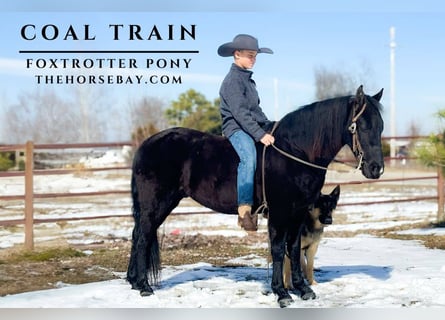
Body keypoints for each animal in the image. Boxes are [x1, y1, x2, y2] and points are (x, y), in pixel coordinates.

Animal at [126, 85, 384, 308]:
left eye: (380, 126)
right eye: (361, 126)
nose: (376, 169)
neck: (295, 153)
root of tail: (146, 144)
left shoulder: (298, 213)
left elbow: (294, 249)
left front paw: (303, 289)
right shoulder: (280, 213)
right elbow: (278, 250)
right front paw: (281, 293)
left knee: (138, 234)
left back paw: (133, 282)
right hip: (156, 204)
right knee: (142, 238)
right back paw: (144, 286)